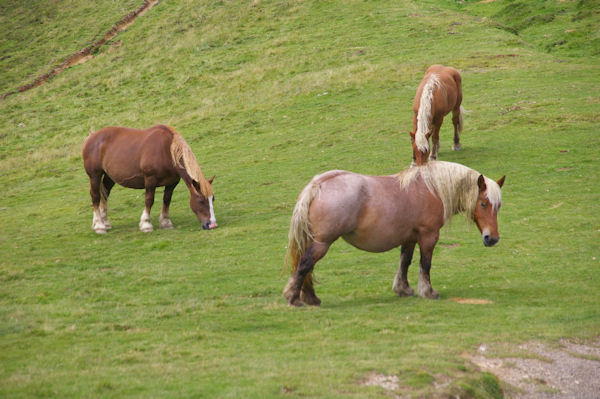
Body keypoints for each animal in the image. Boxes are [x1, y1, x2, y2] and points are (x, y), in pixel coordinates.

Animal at [82, 123, 217, 233]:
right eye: (201, 201)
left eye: (213, 199)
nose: (212, 225)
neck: (166, 150)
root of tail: (92, 137)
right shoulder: (150, 180)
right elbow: (149, 200)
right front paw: (146, 224)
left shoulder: (172, 182)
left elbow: (167, 200)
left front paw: (165, 222)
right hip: (95, 175)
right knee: (95, 196)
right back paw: (99, 225)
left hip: (109, 177)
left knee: (104, 194)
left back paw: (104, 222)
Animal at [284, 161, 504, 308]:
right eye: (483, 203)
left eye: (498, 205)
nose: (492, 238)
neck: (432, 189)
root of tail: (318, 184)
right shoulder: (428, 235)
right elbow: (425, 264)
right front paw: (428, 291)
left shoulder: (409, 237)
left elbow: (405, 262)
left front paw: (403, 289)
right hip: (322, 243)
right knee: (305, 264)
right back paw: (293, 298)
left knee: (307, 267)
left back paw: (310, 298)